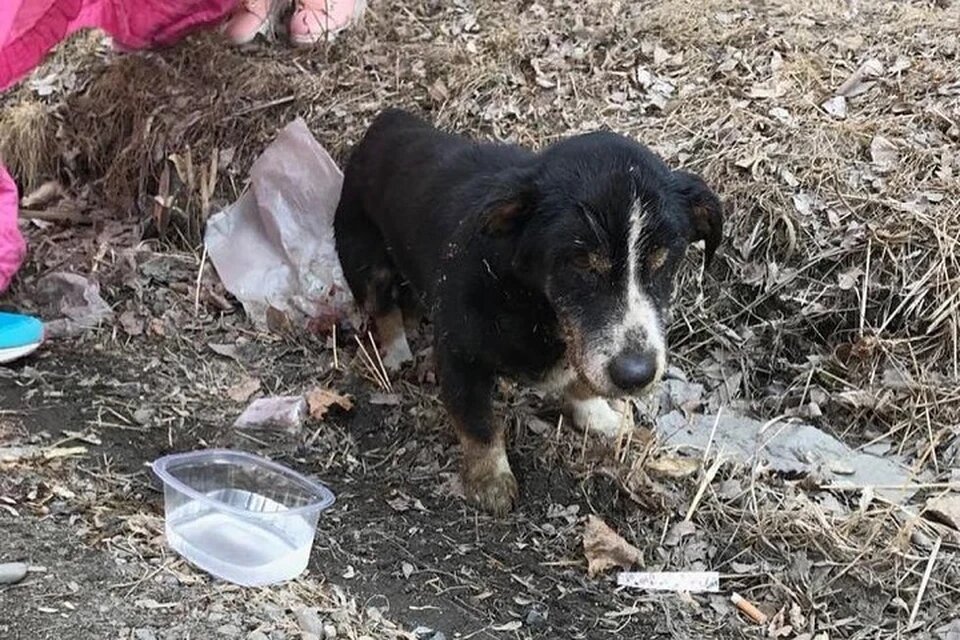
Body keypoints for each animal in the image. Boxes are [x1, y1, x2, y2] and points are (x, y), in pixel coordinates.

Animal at [336, 109, 720, 516]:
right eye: (579, 262)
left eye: (664, 260)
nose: (636, 376)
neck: (532, 300)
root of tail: (386, 120)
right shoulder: (459, 354)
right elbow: (477, 421)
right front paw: (490, 480)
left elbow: (581, 384)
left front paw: (599, 416)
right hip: (364, 259)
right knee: (382, 307)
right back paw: (395, 352)